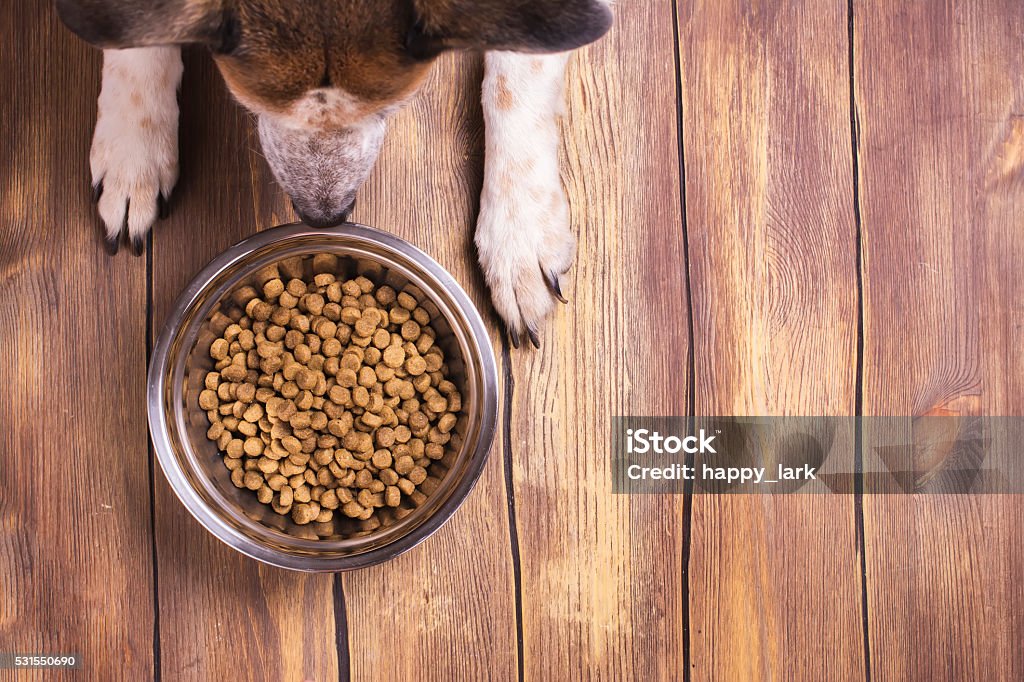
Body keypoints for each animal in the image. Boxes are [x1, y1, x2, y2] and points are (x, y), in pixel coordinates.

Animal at [56, 0, 610, 346]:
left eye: (392, 108)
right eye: (249, 104)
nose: (325, 216)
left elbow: (518, 73)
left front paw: (519, 235)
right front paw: (133, 150)